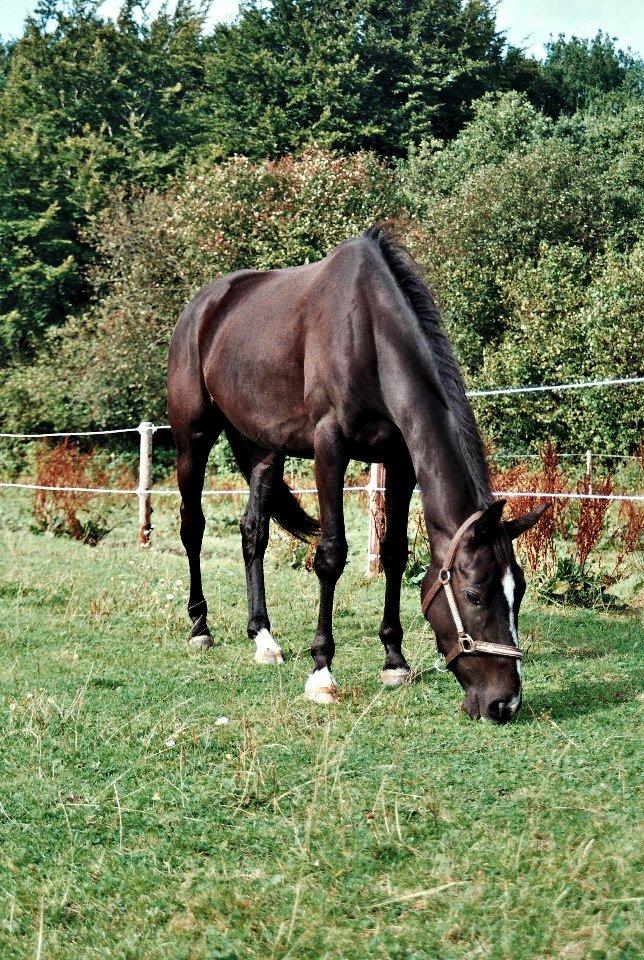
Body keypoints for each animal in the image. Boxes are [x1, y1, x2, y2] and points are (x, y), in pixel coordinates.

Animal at [167, 225, 548, 720]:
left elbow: (395, 553)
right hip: (191, 437)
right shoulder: (330, 447)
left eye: (518, 592)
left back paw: (263, 637)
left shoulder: (400, 460)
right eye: (475, 595)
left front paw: (394, 661)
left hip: (264, 447)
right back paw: (200, 627)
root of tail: (201, 306)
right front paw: (322, 673)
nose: (504, 703)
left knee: (254, 531)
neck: (367, 330)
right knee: (192, 526)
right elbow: (331, 555)